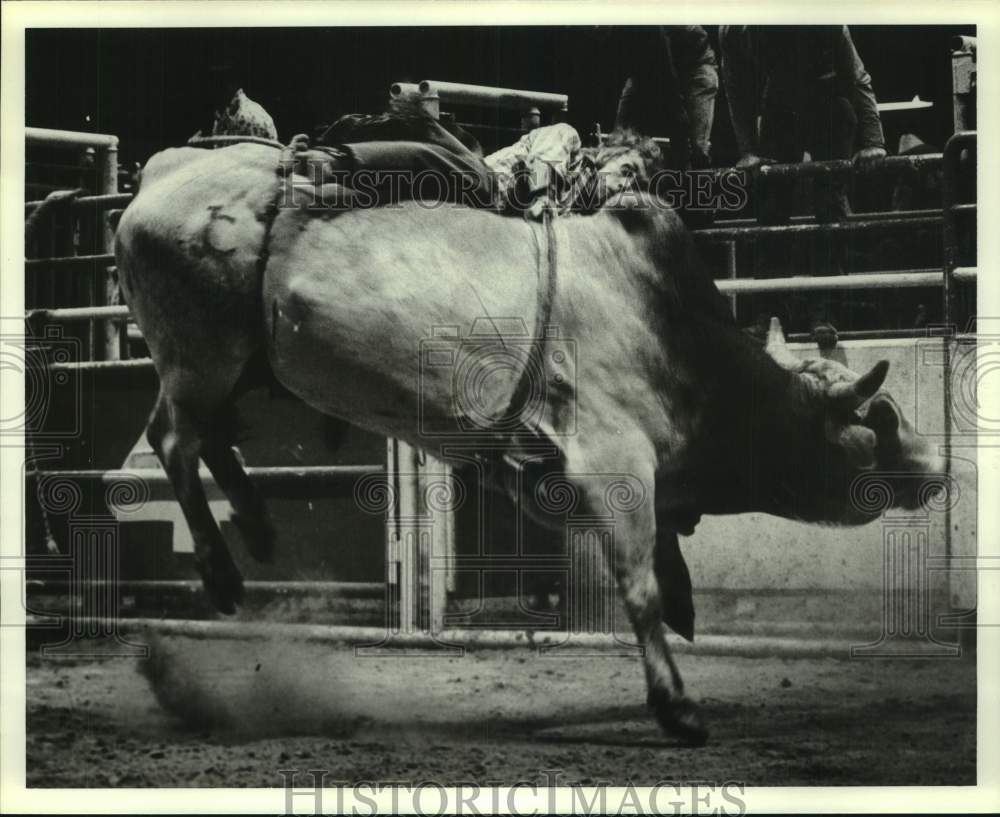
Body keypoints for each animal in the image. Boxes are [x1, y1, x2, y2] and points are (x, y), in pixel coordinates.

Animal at [117, 131, 944, 744]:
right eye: (880, 420)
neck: (673, 339)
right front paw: (677, 704)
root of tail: (168, 172)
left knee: (204, 437)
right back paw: (222, 572)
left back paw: (256, 529)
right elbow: (638, 582)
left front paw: (684, 607)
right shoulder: (614, 463)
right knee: (175, 442)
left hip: (240, 365)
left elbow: (662, 560)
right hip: (201, 352)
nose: (937, 467)